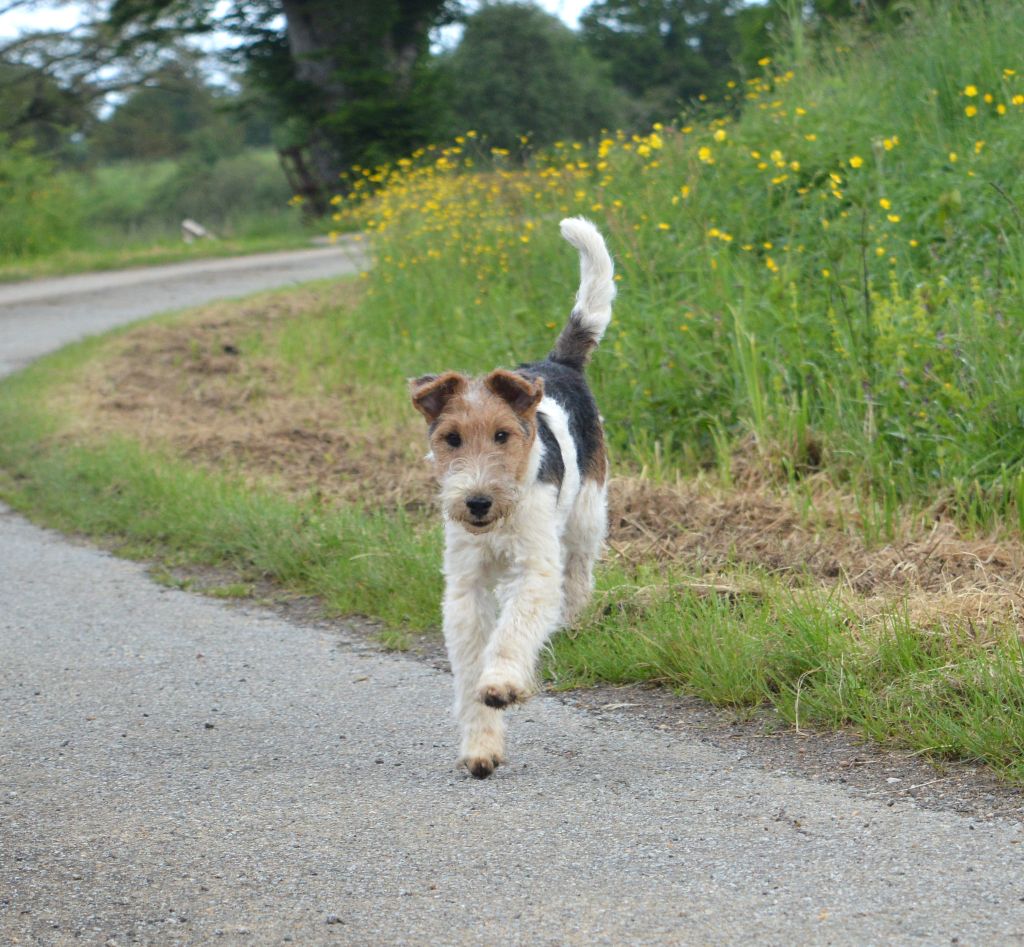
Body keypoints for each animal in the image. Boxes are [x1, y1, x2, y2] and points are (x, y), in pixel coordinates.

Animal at [409, 218, 614, 778]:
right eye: (451, 438)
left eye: (503, 435)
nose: (477, 502)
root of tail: (556, 363)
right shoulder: (466, 585)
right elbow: (472, 663)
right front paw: (482, 747)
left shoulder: (534, 569)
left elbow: (512, 632)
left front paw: (502, 684)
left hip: (588, 514)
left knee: (578, 576)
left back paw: (571, 621)